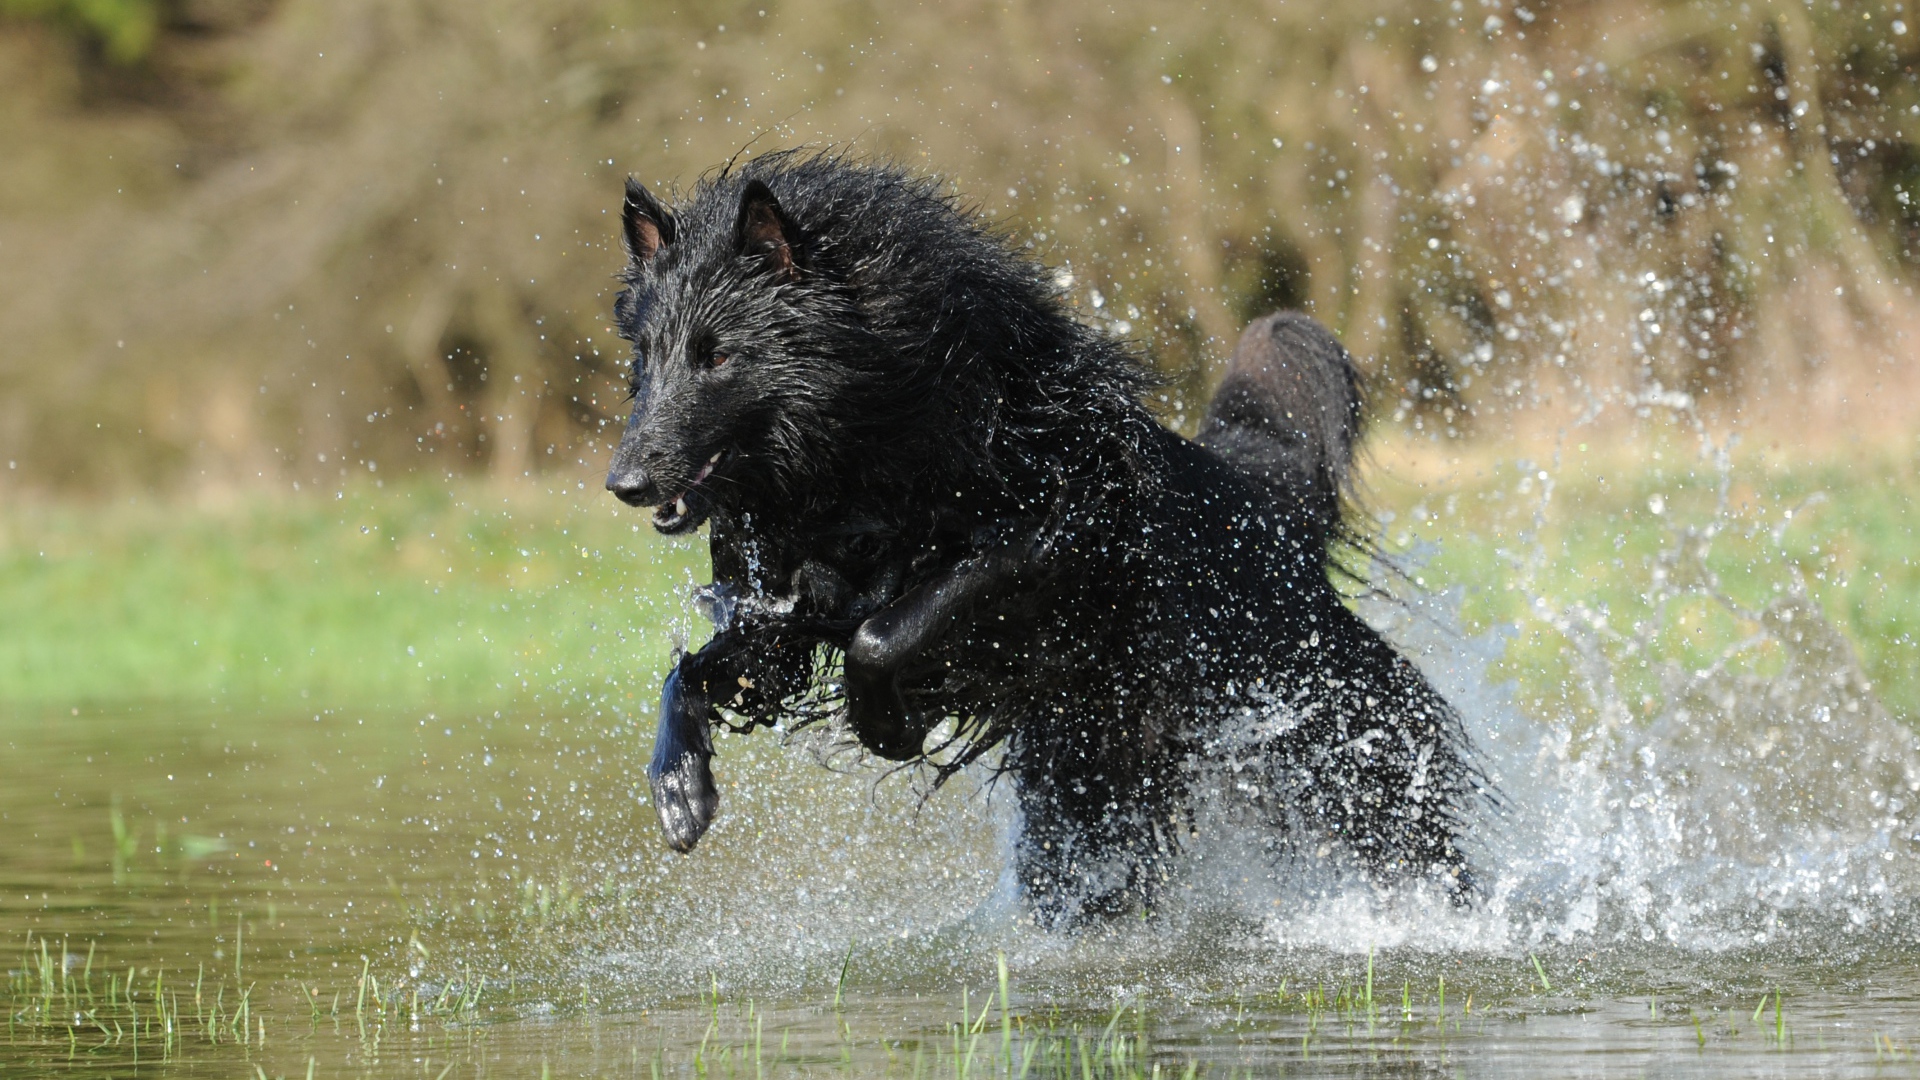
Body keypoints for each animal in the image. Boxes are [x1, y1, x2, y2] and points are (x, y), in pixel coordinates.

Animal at [606, 151, 1474, 922]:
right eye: (645, 359)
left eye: (719, 355)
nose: (625, 481)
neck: (877, 428)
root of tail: (1266, 511)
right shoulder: (784, 613)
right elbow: (694, 671)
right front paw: (679, 785)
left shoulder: (1048, 539)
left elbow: (884, 634)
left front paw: (887, 725)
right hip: (1087, 792)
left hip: (1343, 753)